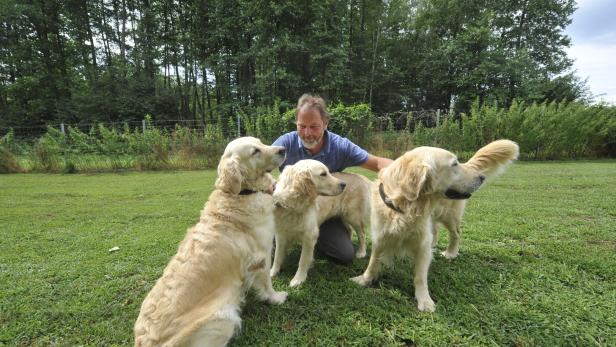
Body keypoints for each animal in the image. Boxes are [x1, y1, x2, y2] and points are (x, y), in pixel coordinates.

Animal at [134, 137, 288, 346]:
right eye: (255, 151)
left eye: (261, 142)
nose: (283, 149)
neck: (241, 194)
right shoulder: (261, 257)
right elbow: (267, 284)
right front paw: (276, 298)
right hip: (224, 319)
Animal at [354, 144, 494, 312]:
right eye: (454, 164)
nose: (482, 177)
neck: (405, 207)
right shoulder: (380, 236)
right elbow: (373, 261)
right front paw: (364, 279)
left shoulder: (421, 244)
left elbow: (420, 275)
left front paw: (424, 300)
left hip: (448, 215)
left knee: (456, 234)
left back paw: (451, 253)